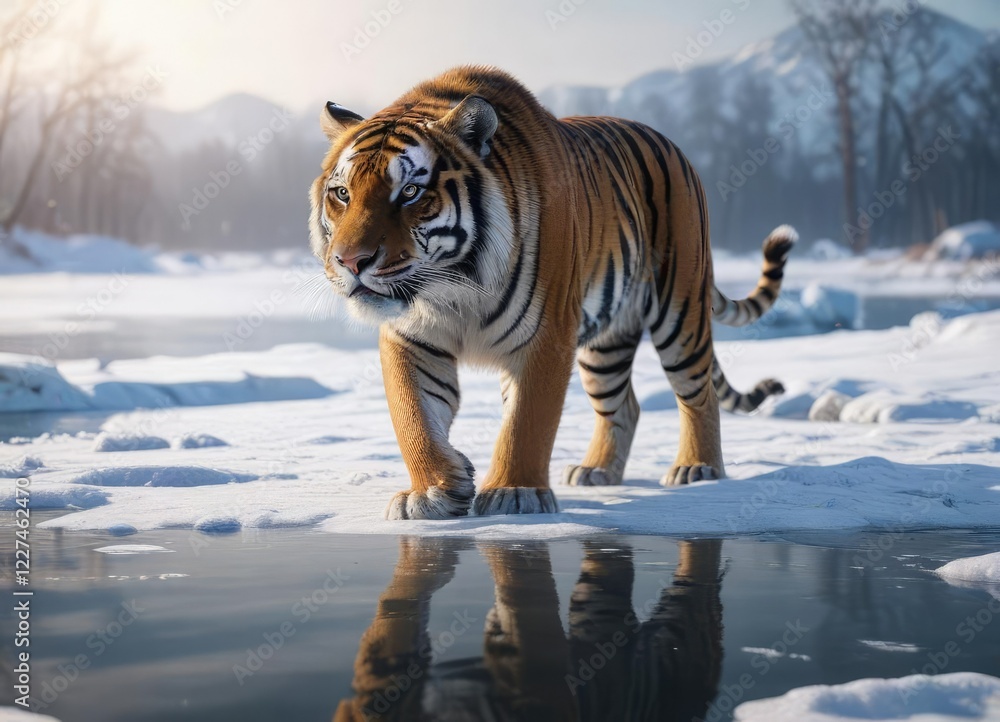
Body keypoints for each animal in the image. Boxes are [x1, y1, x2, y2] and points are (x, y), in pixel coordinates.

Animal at [309, 65, 795, 520]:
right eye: (343, 193)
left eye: (409, 191)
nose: (351, 261)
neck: (452, 286)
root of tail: (674, 146)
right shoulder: (410, 337)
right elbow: (413, 417)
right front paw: (433, 491)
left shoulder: (546, 333)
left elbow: (527, 421)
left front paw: (514, 493)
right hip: (605, 347)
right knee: (624, 406)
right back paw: (597, 471)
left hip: (680, 310)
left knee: (698, 392)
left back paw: (699, 469)